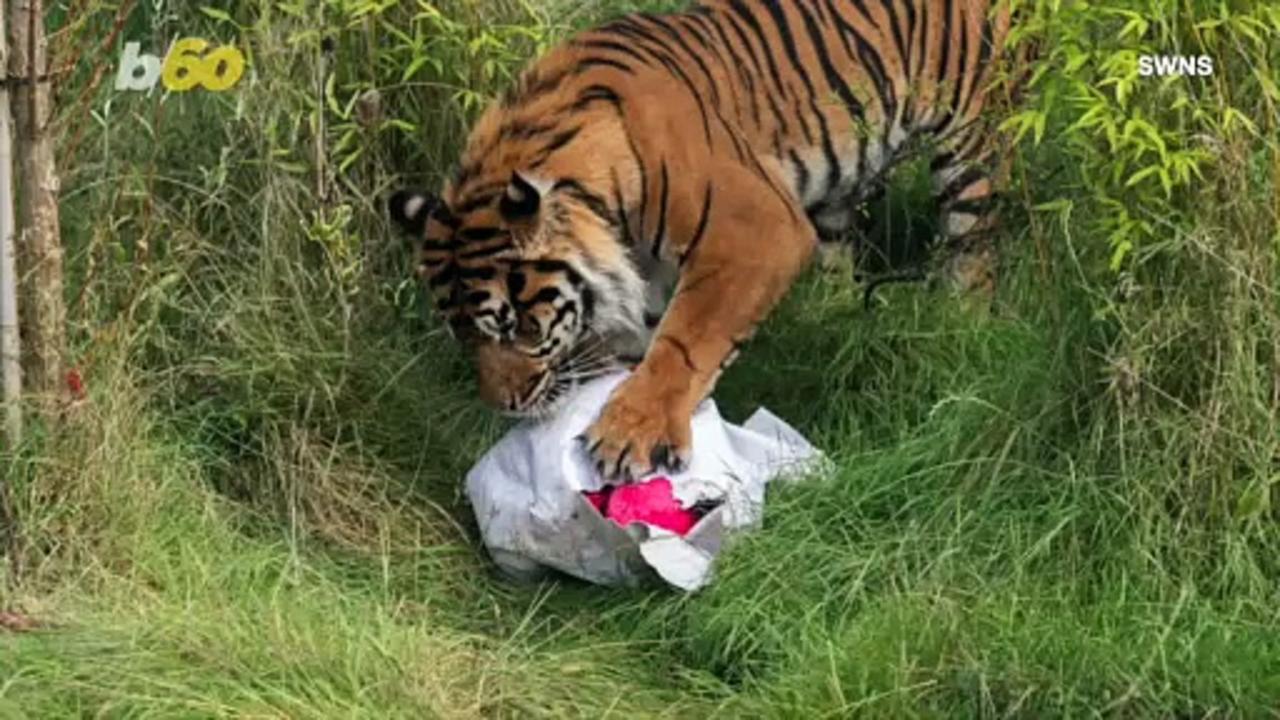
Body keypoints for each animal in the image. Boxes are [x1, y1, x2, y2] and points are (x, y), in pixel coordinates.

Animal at [389, 1, 1029, 481]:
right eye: (463, 336)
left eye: (516, 328)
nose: (505, 406)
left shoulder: (754, 228)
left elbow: (688, 338)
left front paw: (633, 431)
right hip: (839, 197)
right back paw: (837, 325)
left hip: (976, 144)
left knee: (974, 254)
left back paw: (960, 331)